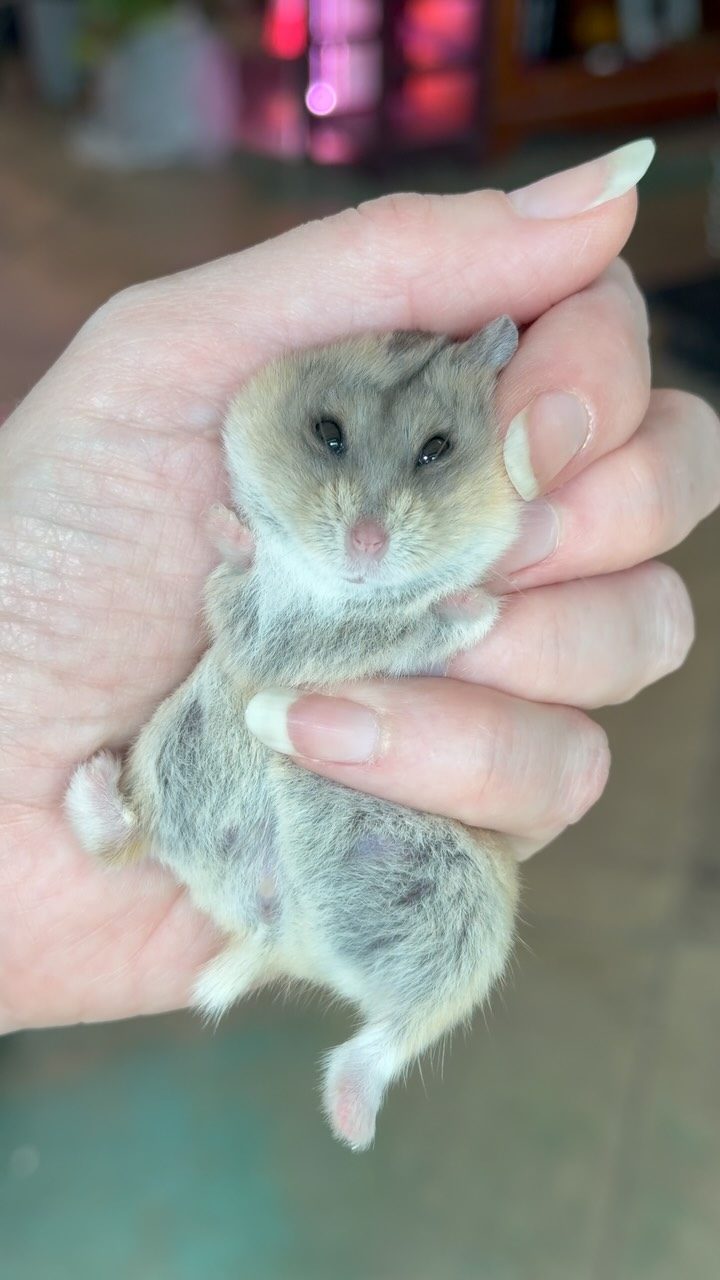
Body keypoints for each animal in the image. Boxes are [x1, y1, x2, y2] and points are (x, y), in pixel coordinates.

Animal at [65, 319, 522, 1150]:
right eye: (328, 434)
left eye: (436, 449)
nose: (366, 545)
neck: (335, 597)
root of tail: (286, 936)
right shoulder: (240, 623)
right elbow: (240, 581)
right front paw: (225, 524)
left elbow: (423, 630)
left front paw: (474, 602)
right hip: (169, 748)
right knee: (128, 834)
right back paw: (89, 785)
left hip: (470, 933)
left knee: (391, 1037)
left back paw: (351, 1126)